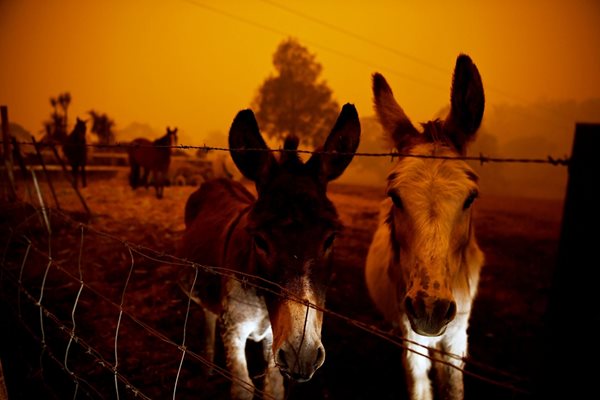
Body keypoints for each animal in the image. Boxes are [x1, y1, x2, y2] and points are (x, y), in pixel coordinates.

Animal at [180, 104, 360, 400]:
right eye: (260, 241)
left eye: (330, 239)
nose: (303, 356)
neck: (261, 297)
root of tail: (217, 180)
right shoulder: (234, 330)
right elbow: (242, 388)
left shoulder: (274, 337)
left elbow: (273, 388)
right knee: (208, 313)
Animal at [364, 54, 486, 400]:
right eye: (395, 196)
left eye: (471, 198)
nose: (429, 310)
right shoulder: (411, 330)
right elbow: (419, 383)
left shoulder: (458, 332)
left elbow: (453, 382)